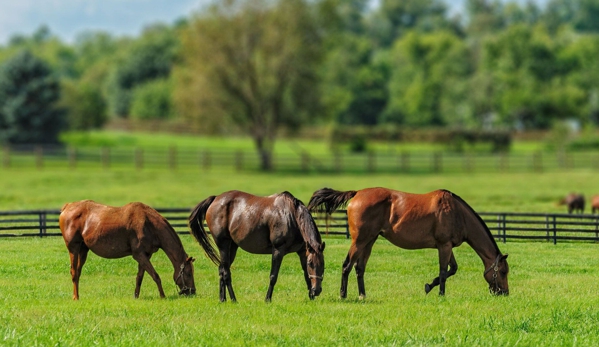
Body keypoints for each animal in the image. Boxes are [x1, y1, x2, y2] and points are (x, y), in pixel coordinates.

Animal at [58, 203, 196, 300]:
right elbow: (155, 275)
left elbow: (140, 277)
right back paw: (75, 297)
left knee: (78, 273)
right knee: (74, 272)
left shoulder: (146, 255)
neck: (149, 224)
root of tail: (67, 206)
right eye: (189, 273)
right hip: (74, 249)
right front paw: (162, 296)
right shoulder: (139, 255)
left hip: (83, 251)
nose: (192, 292)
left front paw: (136, 296)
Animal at [190, 192, 326, 304]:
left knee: (222, 269)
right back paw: (233, 299)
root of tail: (215, 199)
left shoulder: (303, 251)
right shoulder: (278, 250)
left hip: (232, 247)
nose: (317, 290)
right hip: (223, 244)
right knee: (226, 272)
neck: (291, 216)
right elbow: (273, 276)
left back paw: (222, 299)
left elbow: (306, 275)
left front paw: (311, 297)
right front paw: (267, 299)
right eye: (311, 264)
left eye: (323, 264)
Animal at [310, 188, 510, 300]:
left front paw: (429, 286)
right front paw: (440, 294)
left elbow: (452, 269)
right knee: (347, 266)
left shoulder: (446, 246)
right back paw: (343, 295)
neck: (457, 213)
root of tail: (357, 193)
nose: (504, 293)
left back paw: (362, 295)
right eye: (502, 272)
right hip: (359, 241)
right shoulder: (444, 246)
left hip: (369, 241)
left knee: (359, 268)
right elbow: (444, 271)